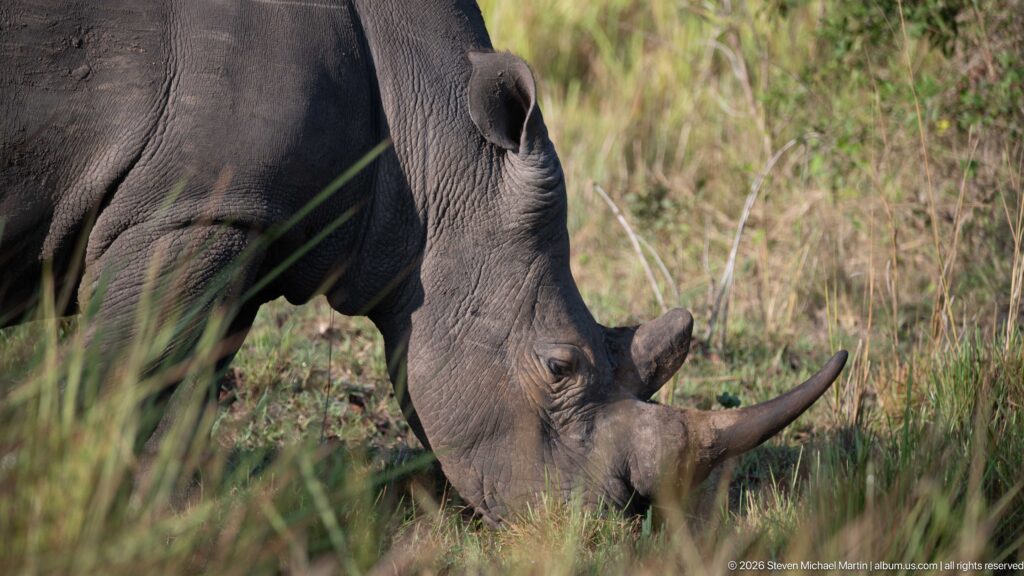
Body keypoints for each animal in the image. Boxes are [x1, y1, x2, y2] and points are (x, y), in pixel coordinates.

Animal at [0, 0, 847, 522]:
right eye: (560, 366)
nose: (610, 517)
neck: (428, 130)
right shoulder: (196, 208)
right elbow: (123, 376)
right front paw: (77, 499)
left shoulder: (244, 219)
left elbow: (181, 383)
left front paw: (160, 513)